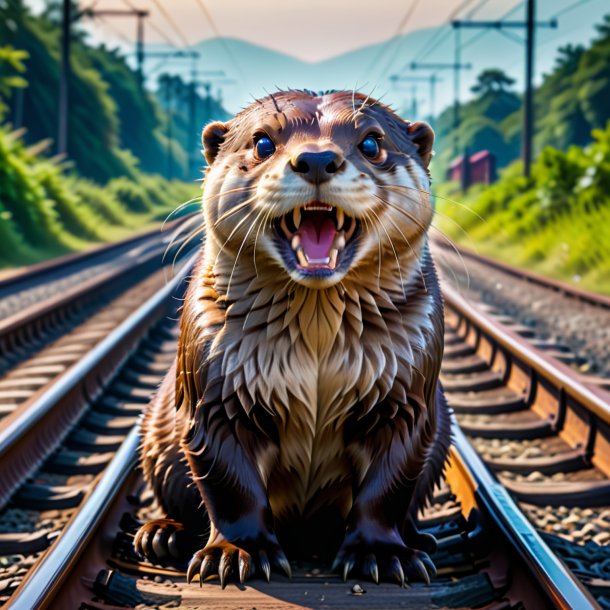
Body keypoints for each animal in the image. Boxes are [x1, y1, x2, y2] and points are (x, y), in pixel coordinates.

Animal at [135, 88, 448, 588]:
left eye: (371, 142)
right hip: (156, 432)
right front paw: (235, 553)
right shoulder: (216, 392)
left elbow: (389, 483)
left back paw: (420, 539)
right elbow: (229, 482)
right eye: (263, 142)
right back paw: (161, 534)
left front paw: (382, 555)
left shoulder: (406, 395)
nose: (317, 158)